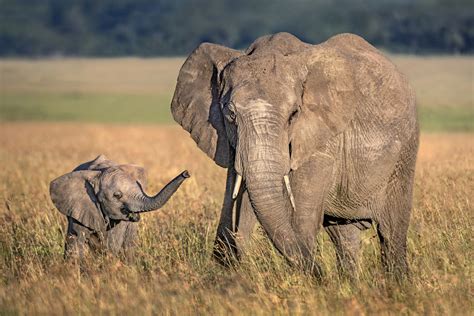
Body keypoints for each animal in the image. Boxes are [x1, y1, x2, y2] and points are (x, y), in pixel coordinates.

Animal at [48, 154, 189, 260]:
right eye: (117, 195)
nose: (186, 173)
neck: (99, 175)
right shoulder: (80, 207)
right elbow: (76, 239)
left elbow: (112, 243)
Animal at [170, 32, 418, 278]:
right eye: (230, 114)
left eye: (294, 114)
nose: (322, 274)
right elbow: (234, 201)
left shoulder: (321, 140)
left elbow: (299, 220)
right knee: (344, 235)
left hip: (404, 153)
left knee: (391, 231)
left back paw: (396, 282)